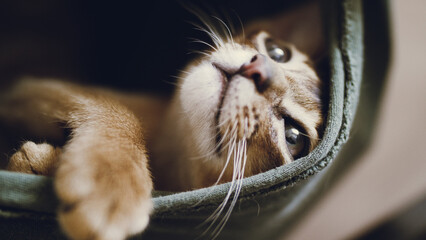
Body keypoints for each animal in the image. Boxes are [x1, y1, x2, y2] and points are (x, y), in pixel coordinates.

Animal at [0, 0, 324, 239]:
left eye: (294, 137)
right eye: (278, 52)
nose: (260, 70)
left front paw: (43, 165)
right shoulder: (27, 88)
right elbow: (118, 110)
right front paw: (112, 179)